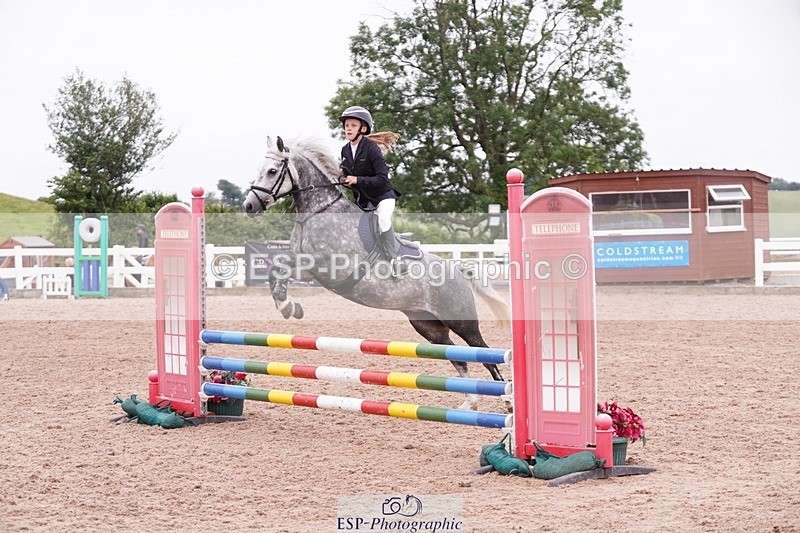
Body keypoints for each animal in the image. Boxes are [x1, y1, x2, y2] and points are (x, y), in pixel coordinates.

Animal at [242, 137, 510, 411]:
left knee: (486, 356)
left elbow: (283, 265)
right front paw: (288, 306)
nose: (249, 206)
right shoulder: (310, 271)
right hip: (429, 326)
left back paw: (508, 402)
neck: (317, 211)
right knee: (459, 358)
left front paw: (287, 306)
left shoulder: (327, 265)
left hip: (461, 321)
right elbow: (277, 267)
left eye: (272, 171)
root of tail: (457, 270)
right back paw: (470, 403)